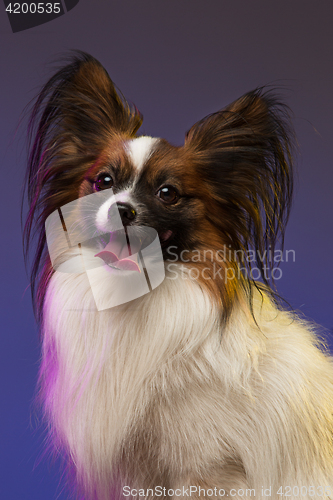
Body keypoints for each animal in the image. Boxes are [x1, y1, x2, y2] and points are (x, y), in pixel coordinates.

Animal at [24, 52, 332, 498]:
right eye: (103, 182)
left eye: (167, 192)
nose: (122, 208)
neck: (137, 297)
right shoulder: (140, 472)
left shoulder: (208, 470)